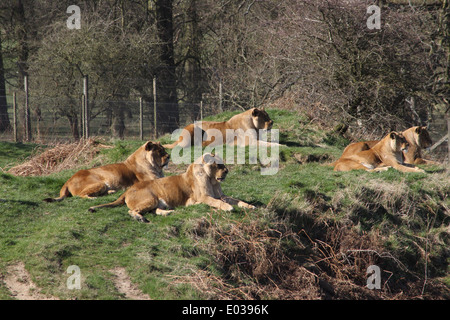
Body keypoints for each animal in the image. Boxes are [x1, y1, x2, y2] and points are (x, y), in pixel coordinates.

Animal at [89, 152, 256, 222]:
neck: (212, 179)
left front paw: (250, 206)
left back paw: (169, 213)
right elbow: (218, 202)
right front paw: (228, 208)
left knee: (155, 211)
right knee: (132, 211)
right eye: (219, 164)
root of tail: (128, 190)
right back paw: (140, 218)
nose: (227, 171)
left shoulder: (221, 195)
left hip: (157, 202)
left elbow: (236, 200)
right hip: (150, 199)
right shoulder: (204, 197)